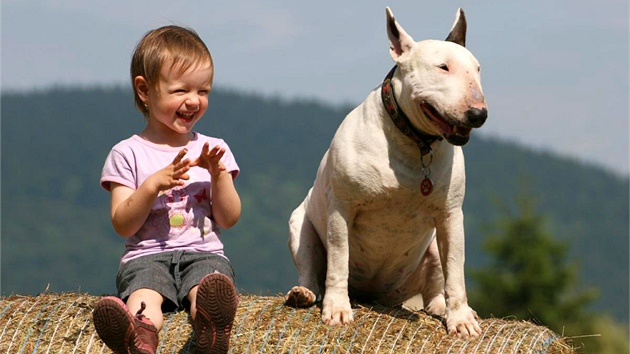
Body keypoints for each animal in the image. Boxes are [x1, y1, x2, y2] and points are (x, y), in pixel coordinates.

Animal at [286, 6, 488, 338]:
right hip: (300, 226)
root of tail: (375, 296)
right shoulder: (341, 208)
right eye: (442, 67)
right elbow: (339, 258)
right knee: (311, 267)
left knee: (435, 285)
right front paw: (337, 309)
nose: (478, 114)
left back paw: (440, 308)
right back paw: (303, 294)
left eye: (478, 69)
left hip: (431, 250)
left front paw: (461, 319)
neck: (414, 143)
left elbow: (456, 271)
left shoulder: (450, 215)